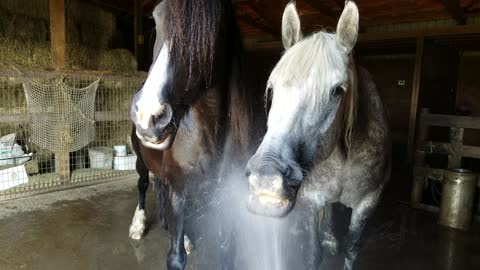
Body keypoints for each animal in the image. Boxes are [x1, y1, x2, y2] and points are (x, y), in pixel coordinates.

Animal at [127, 1, 266, 268]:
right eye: (156, 19)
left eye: (212, 31)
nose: (149, 115)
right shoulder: (180, 191)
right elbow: (176, 257)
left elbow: (226, 252)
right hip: (140, 160)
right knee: (143, 184)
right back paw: (138, 225)